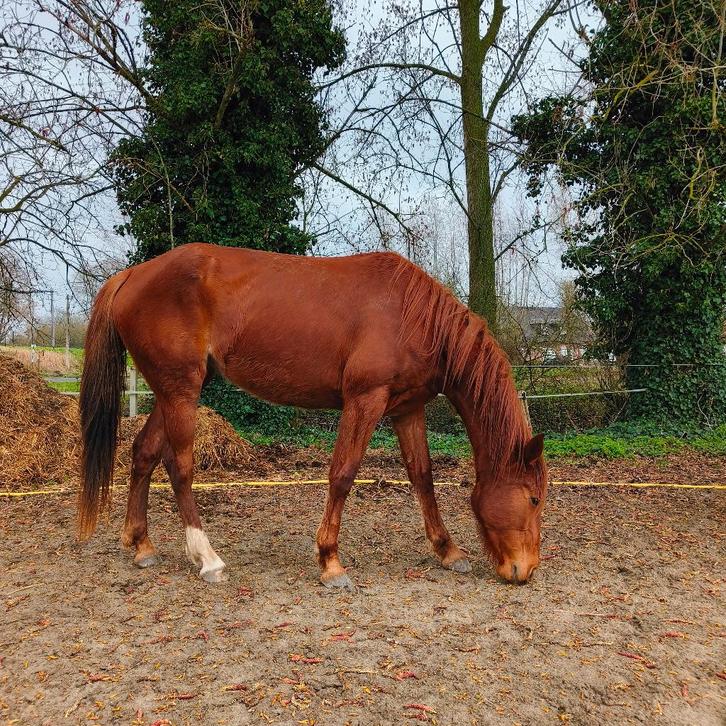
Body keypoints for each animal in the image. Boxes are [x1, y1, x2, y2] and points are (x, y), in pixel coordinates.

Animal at [78, 243, 547, 588]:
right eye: (534, 498)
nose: (525, 570)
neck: (413, 317)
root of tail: (131, 275)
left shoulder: (407, 409)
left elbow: (422, 477)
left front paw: (448, 551)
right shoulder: (365, 401)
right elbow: (343, 474)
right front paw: (330, 561)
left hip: (171, 390)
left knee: (143, 453)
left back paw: (141, 545)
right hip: (181, 390)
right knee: (180, 467)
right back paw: (207, 559)